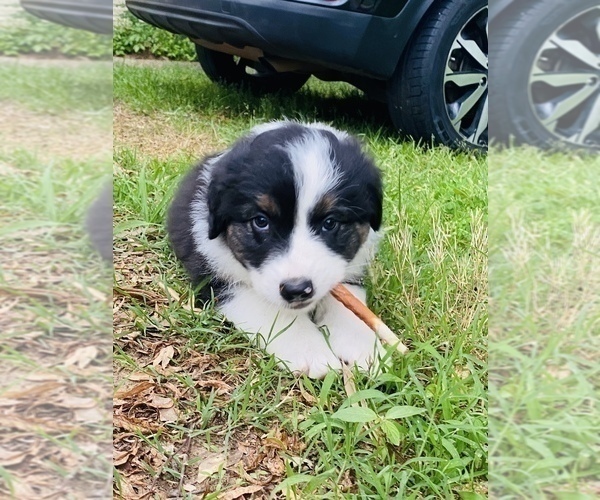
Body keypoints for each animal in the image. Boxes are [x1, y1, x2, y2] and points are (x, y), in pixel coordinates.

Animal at [169, 122, 384, 378]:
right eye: (261, 221)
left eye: (330, 222)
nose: (297, 289)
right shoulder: (213, 274)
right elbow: (269, 308)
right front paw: (310, 350)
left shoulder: (351, 269)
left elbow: (351, 304)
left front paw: (364, 346)